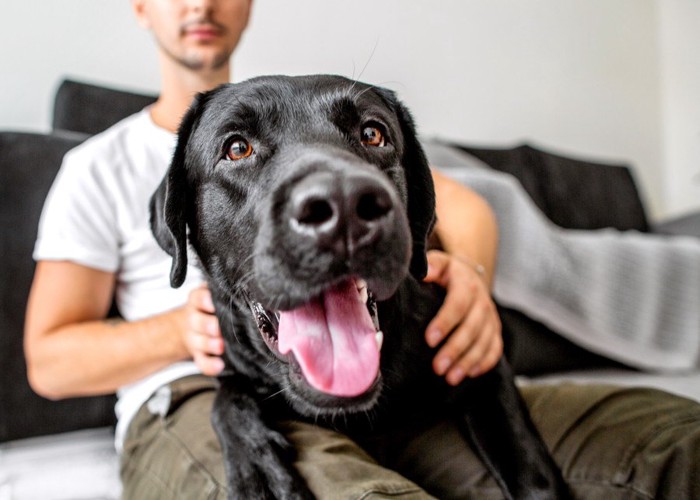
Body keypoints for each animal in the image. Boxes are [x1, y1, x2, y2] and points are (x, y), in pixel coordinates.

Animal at [149, 75, 568, 500]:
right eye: (237, 148)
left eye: (372, 134)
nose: (344, 204)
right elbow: (225, 397)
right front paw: (258, 468)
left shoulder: (480, 357)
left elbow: (526, 462)